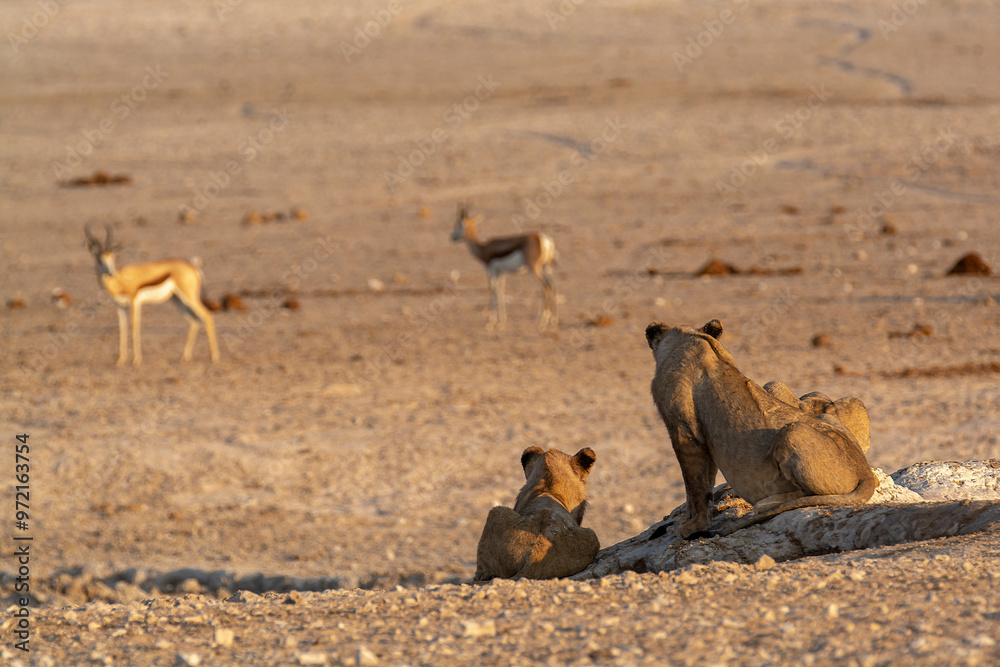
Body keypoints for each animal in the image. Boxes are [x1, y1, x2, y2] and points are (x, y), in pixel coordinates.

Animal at [645, 319, 877, 540]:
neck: (692, 338)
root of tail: (865, 472)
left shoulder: (685, 432)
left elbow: (695, 487)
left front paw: (693, 526)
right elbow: (701, 484)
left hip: (791, 431)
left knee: (808, 495)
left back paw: (767, 503)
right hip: (825, 416)